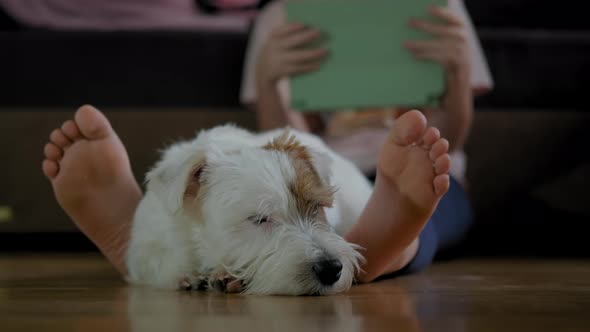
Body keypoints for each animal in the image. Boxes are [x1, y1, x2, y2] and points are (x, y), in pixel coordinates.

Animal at [126, 125, 372, 296]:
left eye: (315, 208)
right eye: (259, 219)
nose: (331, 268)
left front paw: (224, 274)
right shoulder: (142, 247)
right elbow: (155, 258)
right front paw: (184, 274)